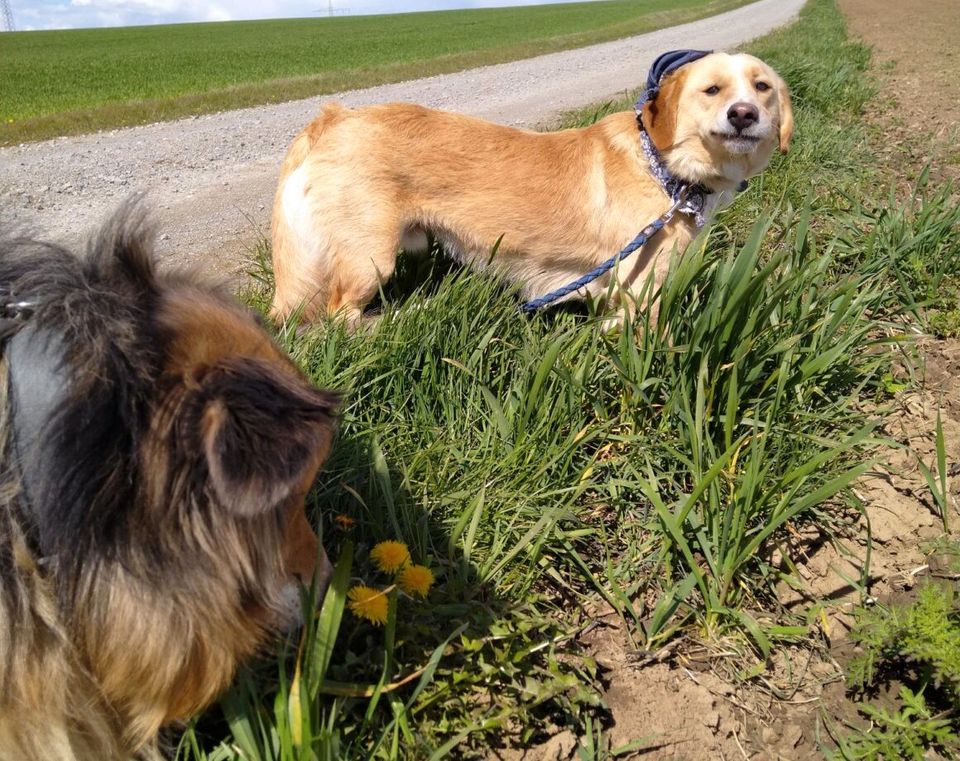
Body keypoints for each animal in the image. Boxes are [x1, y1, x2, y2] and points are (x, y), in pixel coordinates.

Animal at [272, 50, 796, 324]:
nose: (744, 114)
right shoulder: (640, 295)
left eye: (762, 87)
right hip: (370, 258)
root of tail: (333, 117)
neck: (660, 165)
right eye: (712, 90)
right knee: (341, 316)